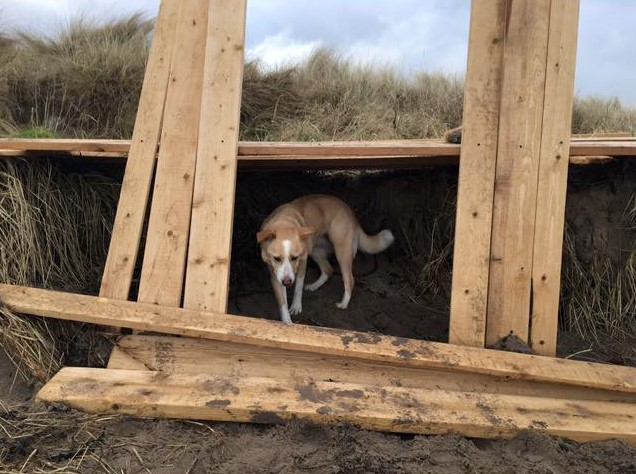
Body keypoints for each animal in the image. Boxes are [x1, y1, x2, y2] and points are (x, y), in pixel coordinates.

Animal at [257, 194, 394, 324]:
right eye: (276, 258)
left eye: (295, 258)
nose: (287, 282)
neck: (284, 222)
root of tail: (350, 212)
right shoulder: (275, 274)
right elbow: (282, 303)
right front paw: (286, 323)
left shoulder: (302, 262)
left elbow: (298, 288)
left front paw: (296, 307)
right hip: (315, 251)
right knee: (328, 269)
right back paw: (314, 286)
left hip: (342, 251)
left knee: (349, 279)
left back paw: (343, 304)